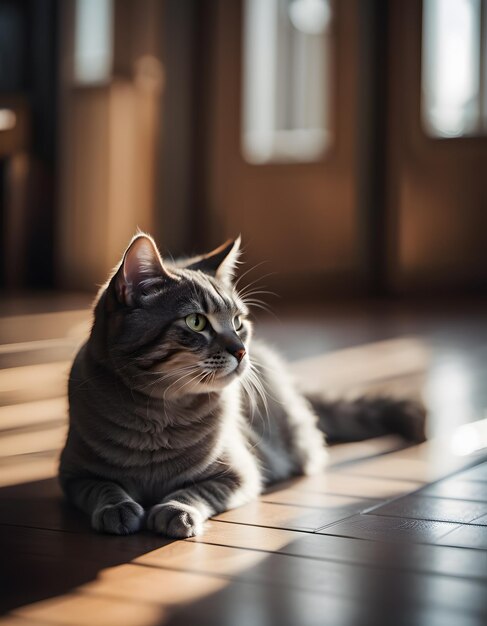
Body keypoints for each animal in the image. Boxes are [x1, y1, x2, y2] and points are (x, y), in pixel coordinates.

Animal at [58, 234, 428, 536]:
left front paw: (175, 510)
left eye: (238, 322)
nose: (241, 350)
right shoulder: (73, 474)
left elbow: (196, 491)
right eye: (196, 322)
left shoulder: (239, 473)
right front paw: (117, 508)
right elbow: (101, 487)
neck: (161, 415)